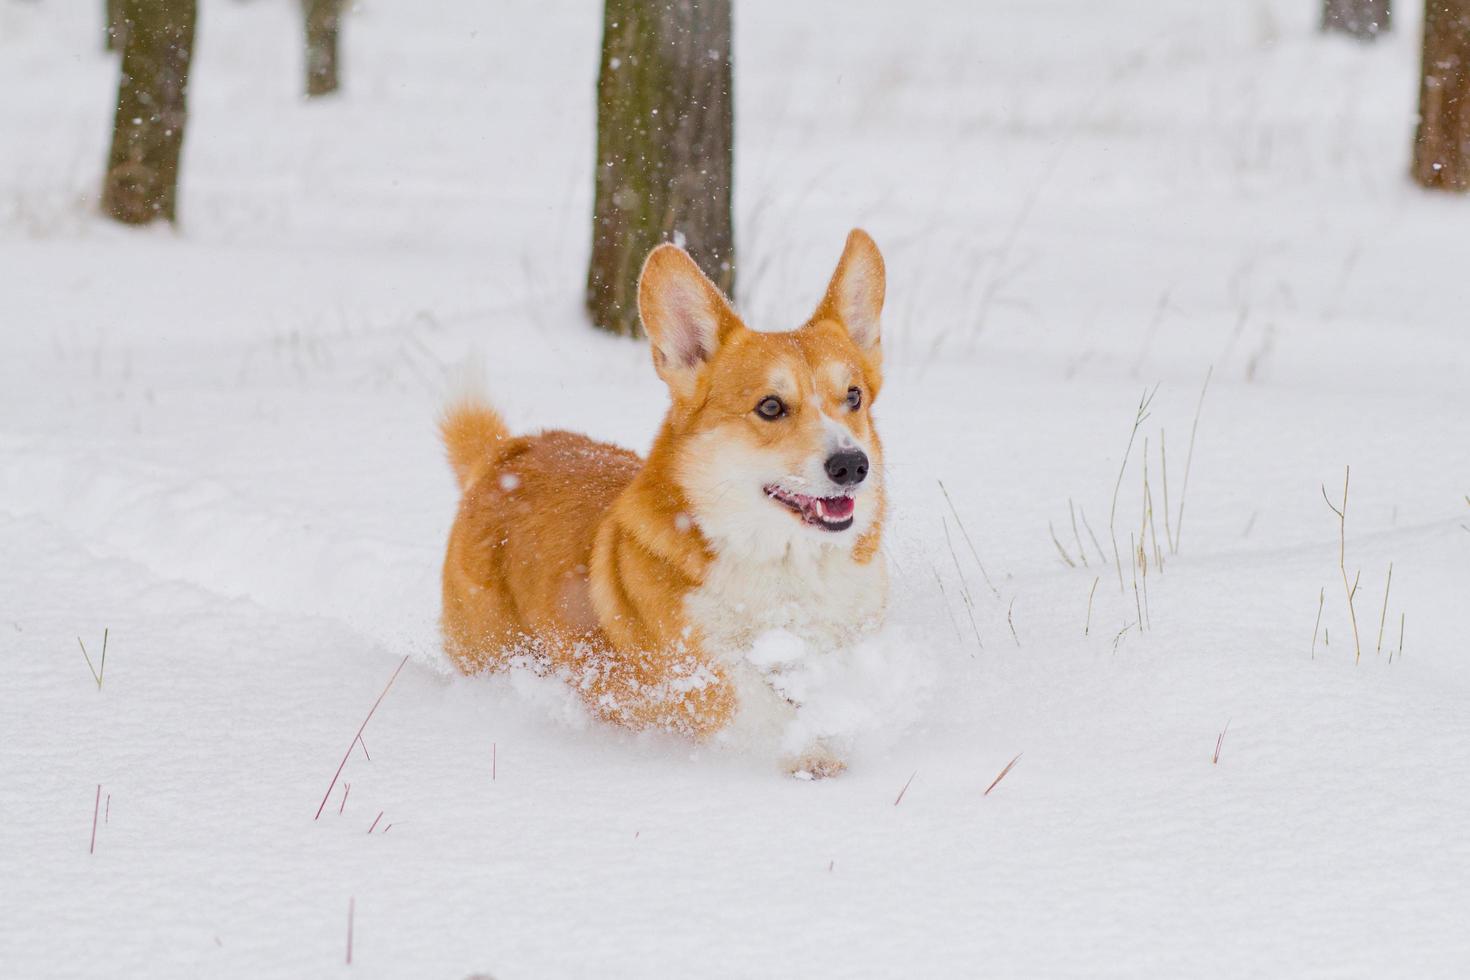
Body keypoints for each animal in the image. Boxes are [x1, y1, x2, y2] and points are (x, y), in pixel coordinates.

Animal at [435, 227, 887, 775]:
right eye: (771, 407)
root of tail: (503, 455)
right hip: (491, 653)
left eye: (854, 397)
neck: (786, 562)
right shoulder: (694, 670)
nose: (852, 465)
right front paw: (813, 755)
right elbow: (756, 704)